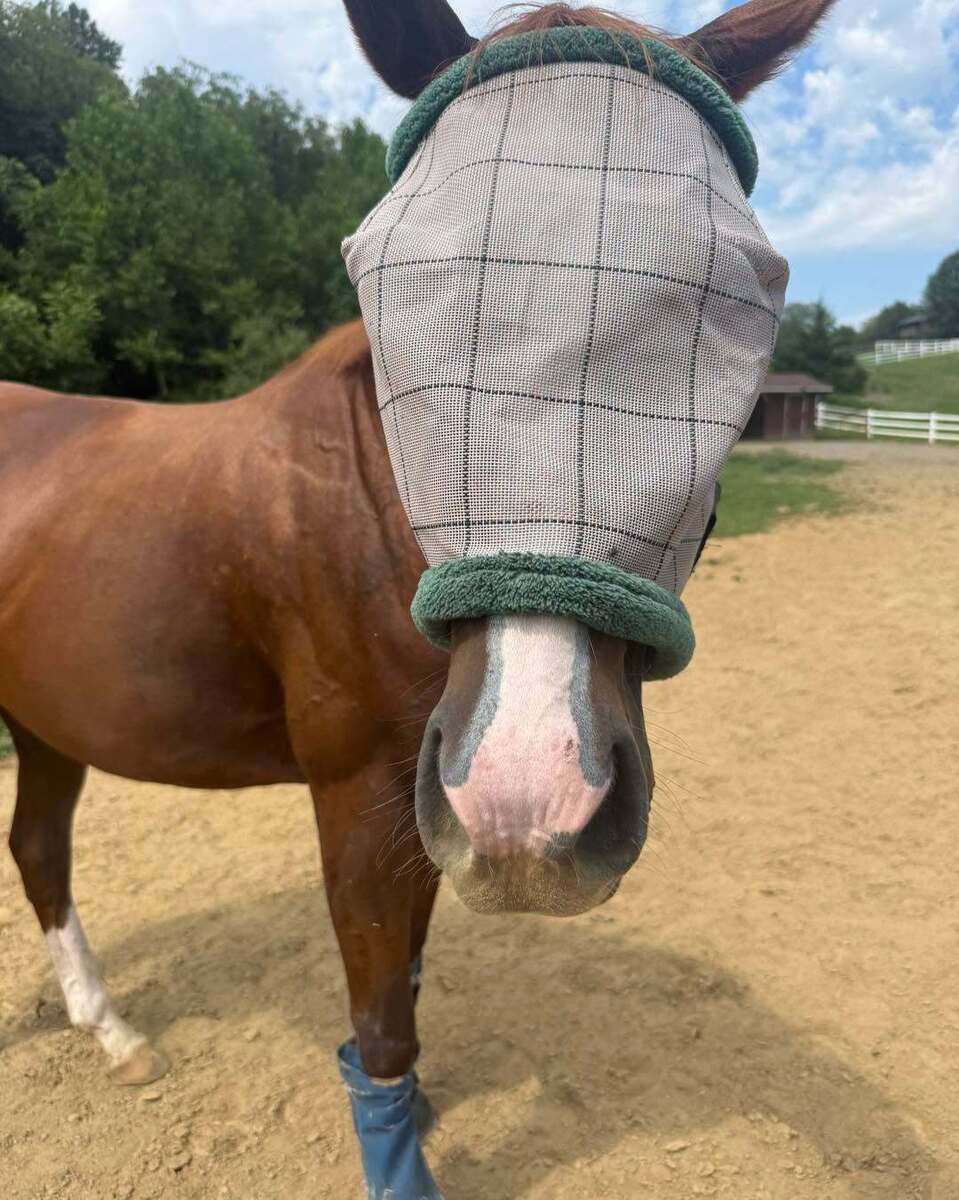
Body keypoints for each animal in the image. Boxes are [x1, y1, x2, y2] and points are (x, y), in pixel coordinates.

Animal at [1, 2, 837, 1196]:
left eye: (751, 285)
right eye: (376, 266)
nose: (534, 791)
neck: (363, 500)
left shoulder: (426, 805)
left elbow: (406, 974)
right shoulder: (357, 795)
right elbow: (380, 1011)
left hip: (47, 722)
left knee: (37, 848)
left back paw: (108, 1029)